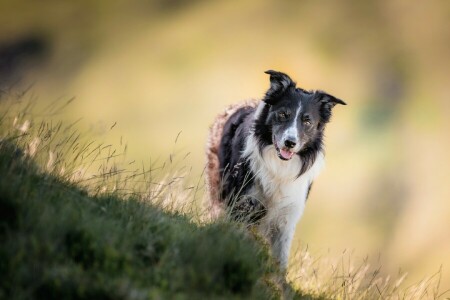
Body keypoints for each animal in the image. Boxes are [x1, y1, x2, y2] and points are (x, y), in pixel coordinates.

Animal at [206, 71, 346, 270]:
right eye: (283, 114)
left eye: (307, 121)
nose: (290, 142)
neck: (279, 167)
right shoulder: (244, 203)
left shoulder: (288, 217)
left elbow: (281, 260)